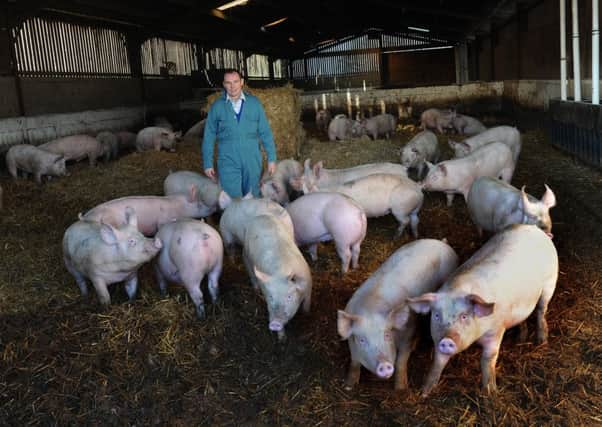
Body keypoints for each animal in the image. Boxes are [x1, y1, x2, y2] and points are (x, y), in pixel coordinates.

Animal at [241, 214, 312, 342]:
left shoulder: (309, 285)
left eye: (289, 296)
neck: (280, 271)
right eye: (270, 296)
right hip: (246, 255)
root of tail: (260, 216)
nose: (275, 323)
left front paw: (306, 314)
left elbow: (307, 304)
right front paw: (282, 340)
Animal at [336, 241, 458, 392]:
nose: (384, 365)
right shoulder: (351, 343)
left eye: (387, 335)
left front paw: (401, 389)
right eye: (362, 340)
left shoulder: (408, 331)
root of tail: (442, 243)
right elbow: (354, 361)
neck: (370, 309)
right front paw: (348, 386)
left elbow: (401, 361)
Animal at [406, 226, 556, 396]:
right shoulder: (437, 338)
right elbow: (437, 363)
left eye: (464, 316)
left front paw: (491, 393)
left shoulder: (496, 330)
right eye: (437, 315)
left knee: (541, 310)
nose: (447, 340)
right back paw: (520, 339)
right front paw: (424, 392)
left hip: (550, 283)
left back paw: (542, 341)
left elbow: (487, 360)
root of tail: (535, 228)